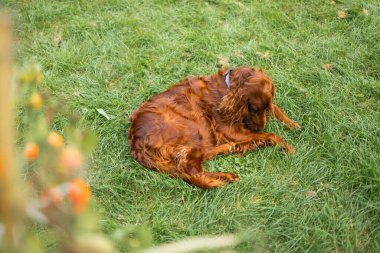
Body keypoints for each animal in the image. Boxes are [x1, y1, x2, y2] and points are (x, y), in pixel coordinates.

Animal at [129, 66, 302, 189]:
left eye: (265, 108)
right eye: (253, 108)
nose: (259, 129)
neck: (227, 87)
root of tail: (136, 144)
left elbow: (277, 110)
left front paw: (293, 124)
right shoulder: (231, 130)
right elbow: (272, 134)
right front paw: (287, 147)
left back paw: (228, 150)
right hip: (194, 130)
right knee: (190, 170)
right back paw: (225, 176)